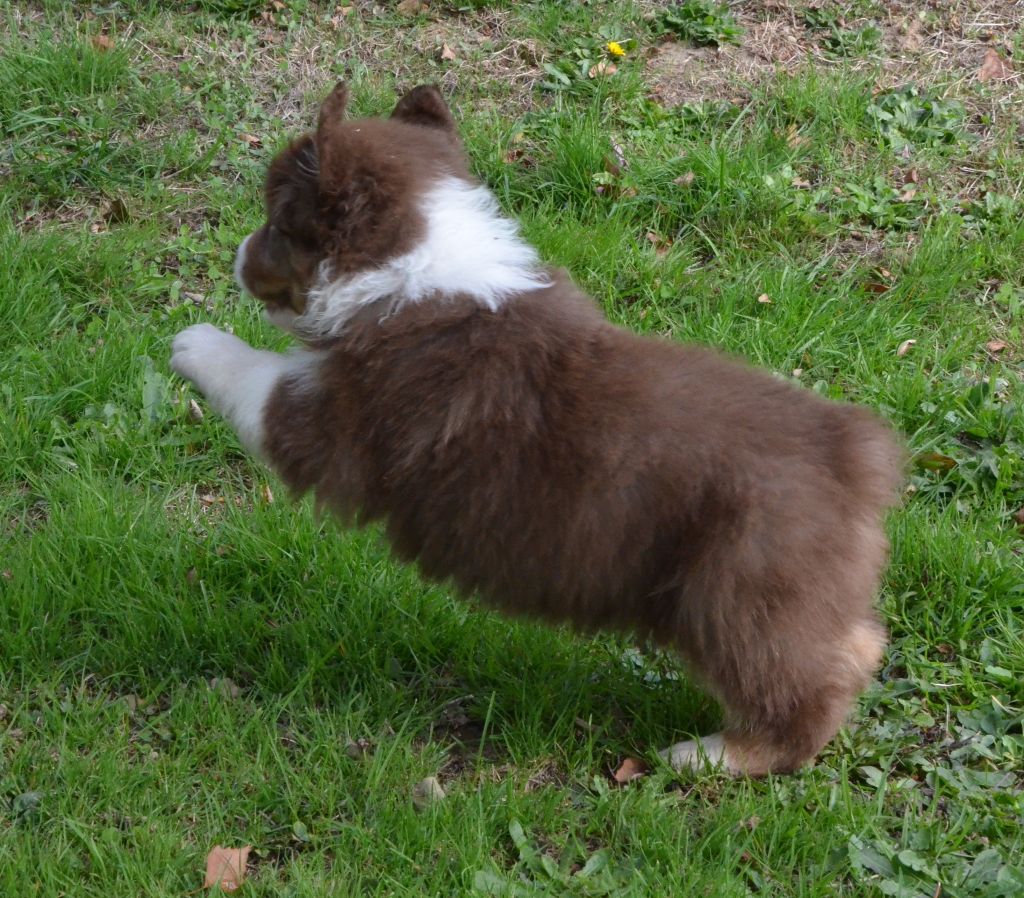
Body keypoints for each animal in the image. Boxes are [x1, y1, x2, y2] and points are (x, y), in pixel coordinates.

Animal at [171, 83, 904, 775]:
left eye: (276, 222)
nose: (236, 256)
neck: (413, 265)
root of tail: (853, 453)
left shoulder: (332, 422)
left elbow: (260, 379)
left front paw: (192, 342)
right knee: (851, 647)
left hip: (738, 596)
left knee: (792, 695)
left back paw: (710, 755)